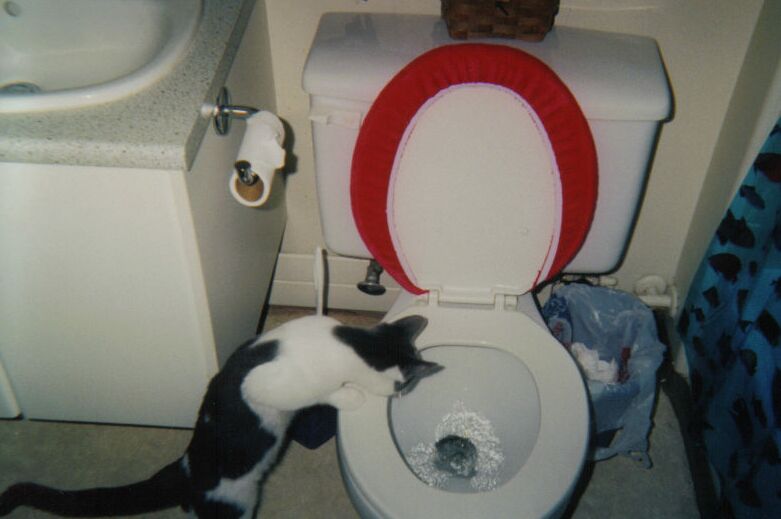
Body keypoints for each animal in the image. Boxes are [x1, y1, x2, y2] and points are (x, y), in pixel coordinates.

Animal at [0, 314, 441, 518]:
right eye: (405, 384)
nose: (405, 393)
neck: (351, 342)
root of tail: (187, 467)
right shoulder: (267, 385)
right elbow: (322, 391)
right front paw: (348, 395)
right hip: (235, 506)